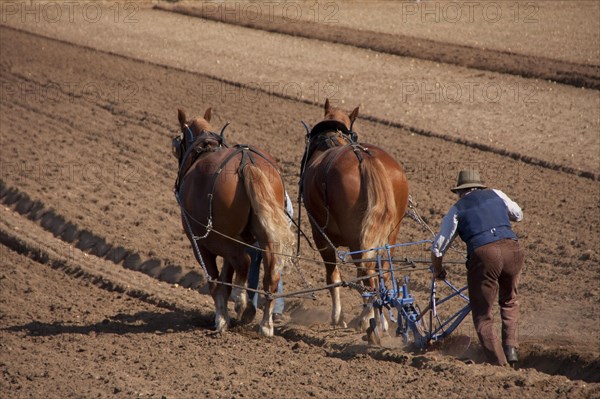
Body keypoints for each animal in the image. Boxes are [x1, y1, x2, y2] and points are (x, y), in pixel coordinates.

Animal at [172, 108, 292, 336]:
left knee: (244, 262)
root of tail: (247, 163)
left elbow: (214, 281)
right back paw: (265, 324)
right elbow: (225, 281)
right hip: (262, 237)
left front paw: (221, 319)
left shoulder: (200, 244)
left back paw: (242, 303)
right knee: (271, 274)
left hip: (223, 240)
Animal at [302, 99, 410, 332]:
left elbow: (332, 276)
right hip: (390, 233)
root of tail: (366, 157)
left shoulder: (320, 235)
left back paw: (366, 318)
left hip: (355, 236)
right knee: (380, 272)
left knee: (366, 273)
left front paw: (337, 317)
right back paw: (378, 317)